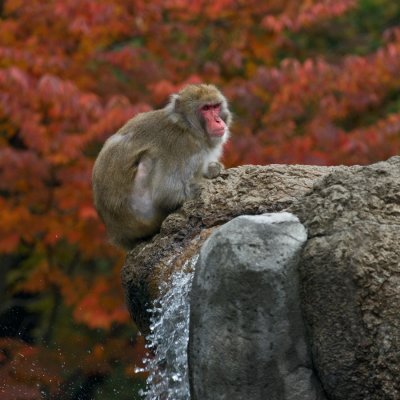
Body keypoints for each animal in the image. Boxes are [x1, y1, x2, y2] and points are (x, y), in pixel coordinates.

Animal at [91, 83, 231, 248]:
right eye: (206, 108)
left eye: (215, 106)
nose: (218, 121)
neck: (186, 126)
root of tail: (117, 234)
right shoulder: (181, 146)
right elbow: (168, 193)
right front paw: (204, 181)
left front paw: (212, 169)